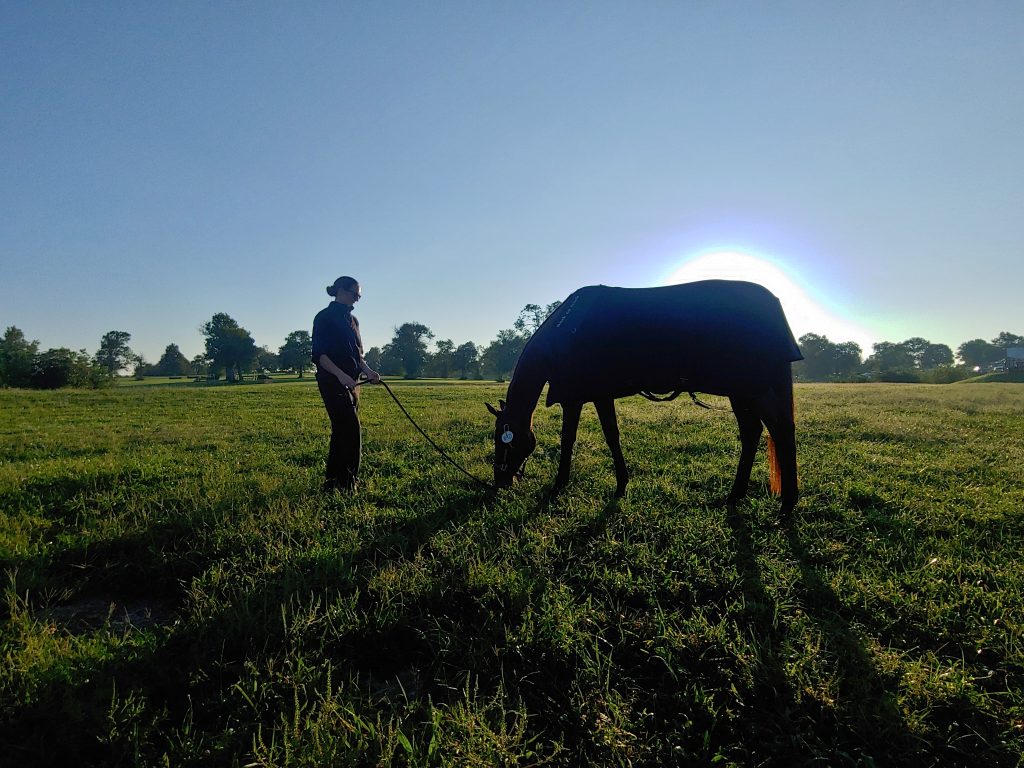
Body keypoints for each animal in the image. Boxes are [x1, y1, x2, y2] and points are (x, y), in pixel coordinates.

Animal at [483, 280, 802, 514]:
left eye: (503, 437)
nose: (500, 482)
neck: (563, 335)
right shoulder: (597, 395)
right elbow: (611, 436)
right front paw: (621, 484)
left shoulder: (578, 397)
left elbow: (572, 439)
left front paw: (559, 485)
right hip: (741, 392)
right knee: (753, 432)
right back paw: (736, 496)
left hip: (753, 390)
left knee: (781, 430)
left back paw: (787, 506)